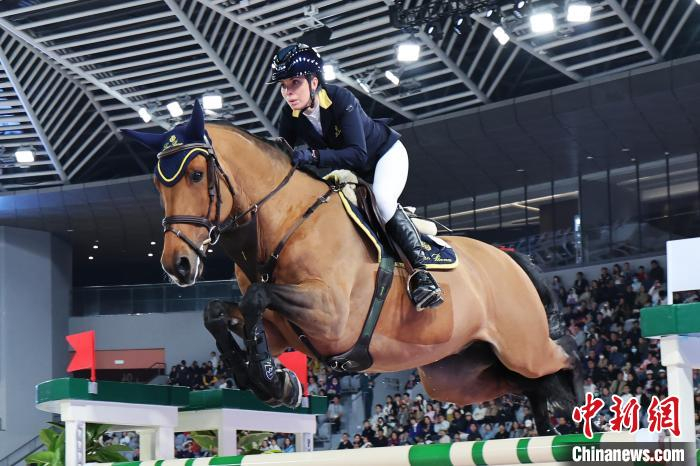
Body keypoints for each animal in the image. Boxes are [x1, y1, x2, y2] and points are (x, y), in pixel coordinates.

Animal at [124, 102, 584, 436]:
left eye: (196, 175)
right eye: (158, 184)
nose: (177, 266)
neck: (283, 223)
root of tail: (508, 256)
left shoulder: (332, 317)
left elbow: (256, 297)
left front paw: (272, 379)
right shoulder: (281, 328)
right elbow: (218, 312)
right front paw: (271, 382)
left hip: (520, 346)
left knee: (566, 356)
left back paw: (579, 411)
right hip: (460, 373)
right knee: (531, 382)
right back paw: (550, 424)